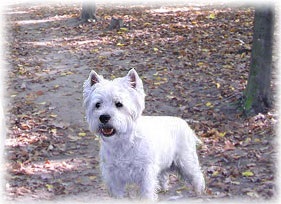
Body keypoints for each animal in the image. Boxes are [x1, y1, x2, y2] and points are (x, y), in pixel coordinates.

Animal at [82, 69, 203, 200]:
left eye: (119, 104)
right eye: (97, 105)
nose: (104, 117)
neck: (123, 142)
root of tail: (184, 122)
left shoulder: (146, 174)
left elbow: (147, 194)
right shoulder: (114, 177)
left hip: (186, 161)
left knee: (197, 176)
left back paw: (199, 193)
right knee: (164, 175)